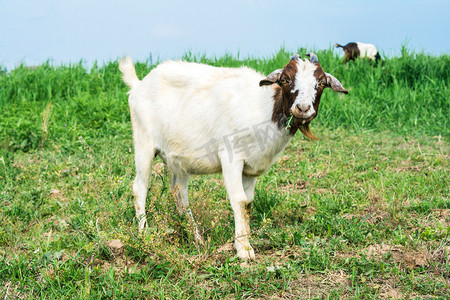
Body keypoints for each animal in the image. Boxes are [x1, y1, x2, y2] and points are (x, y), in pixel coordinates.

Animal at [118, 54, 348, 260]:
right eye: (285, 79)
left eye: (321, 82)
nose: (303, 108)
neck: (264, 109)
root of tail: (138, 85)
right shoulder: (231, 158)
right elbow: (238, 200)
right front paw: (244, 251)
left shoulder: (251, 168)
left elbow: (248, 203)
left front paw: (244, 242)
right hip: (144, 142)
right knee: (140, 187)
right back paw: (144, 233)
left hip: (179, 160)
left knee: (179, 193)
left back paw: (197, 238)